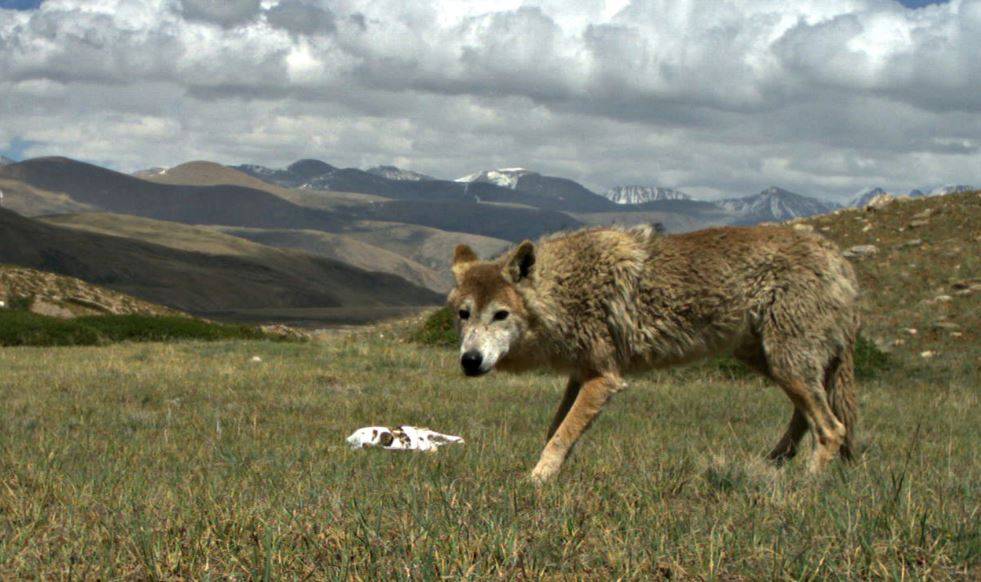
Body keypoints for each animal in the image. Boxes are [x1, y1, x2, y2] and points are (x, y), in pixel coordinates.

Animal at [448, 226, 860, 486]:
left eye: (500, 315)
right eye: (464, 314)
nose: (470, 361)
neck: (564, 292)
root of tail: (840, 261)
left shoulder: (605, 379)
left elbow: (561, 436)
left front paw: (535, 482)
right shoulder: (581, 375)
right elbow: (556, 431)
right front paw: (552, 473)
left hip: (786, 365)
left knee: (832, 429)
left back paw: (802, 486)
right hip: (774, 364)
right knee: (807, 419)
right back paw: (770, 467)